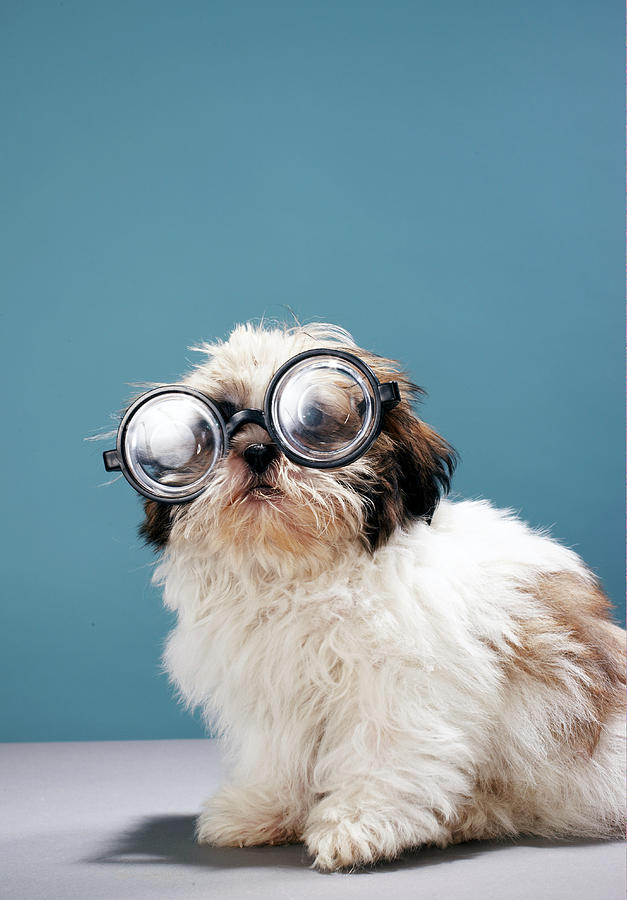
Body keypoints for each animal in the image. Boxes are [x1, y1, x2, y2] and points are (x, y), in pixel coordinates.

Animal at [102, 320, 624, 868]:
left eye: (314, 424)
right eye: (209, 433)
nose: (258, 450)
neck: (305, 572)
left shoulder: (398, 685)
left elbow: (382, 751)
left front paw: (359, 822)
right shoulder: (275, 690)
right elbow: (276, 754)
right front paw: (263, 810)